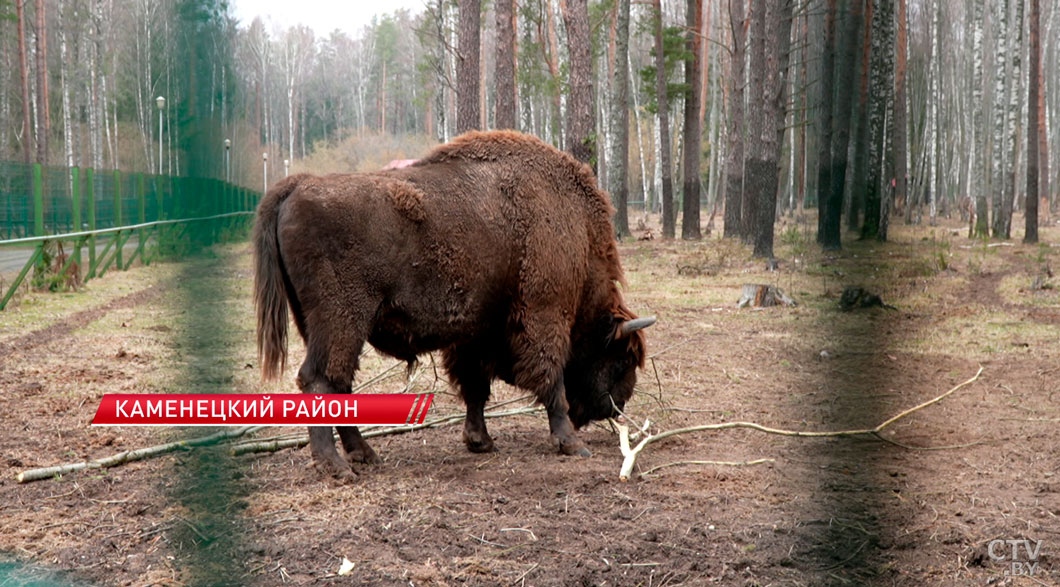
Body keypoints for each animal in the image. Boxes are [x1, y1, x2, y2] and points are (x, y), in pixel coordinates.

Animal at [256, 129, 652, 474]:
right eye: (621, 359)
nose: (617, 407)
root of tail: (298, 186)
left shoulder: (478, 330)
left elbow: (476, 385)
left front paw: (480, 441)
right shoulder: (545, 313)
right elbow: (550, 378)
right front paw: (570, 443)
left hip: (317, 324)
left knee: (340, 384)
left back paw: (364, 454)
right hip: (342, 320)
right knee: (320, 380)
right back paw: (336, 466)